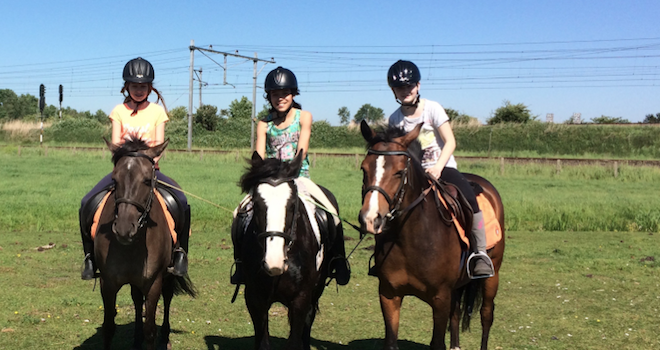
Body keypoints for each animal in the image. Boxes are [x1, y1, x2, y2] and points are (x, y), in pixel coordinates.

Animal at [94, 139, 195, 350]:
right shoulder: (107, 283)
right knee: (136, 299)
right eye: (114, 179)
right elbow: (108, 327)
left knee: (167, 296)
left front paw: (152, 336)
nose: (124, 228)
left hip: (169, 274)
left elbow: (150, 330)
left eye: (148, 180)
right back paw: (136, 338)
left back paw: (165, 337)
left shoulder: (153, 283)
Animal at [358, 121, 502, 350]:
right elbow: (391, 341)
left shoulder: (440, 297)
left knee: (486, 315)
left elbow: (437, 342)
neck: (410, 238)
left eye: (399, 172)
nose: (370, 219)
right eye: (364, 168)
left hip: (492, 275)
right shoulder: (389, 294)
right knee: (456, 313)